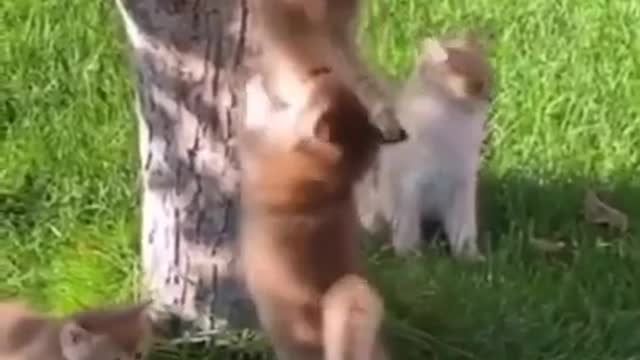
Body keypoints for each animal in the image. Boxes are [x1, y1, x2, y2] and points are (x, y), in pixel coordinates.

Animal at [360, 32, 496, 260]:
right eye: (473, 86)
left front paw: (469, 256)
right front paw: (410, 256)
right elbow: (408, 230)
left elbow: (464, 229)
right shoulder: (410, 186)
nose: (490, 99)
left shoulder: (462, 184)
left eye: (491, 81)